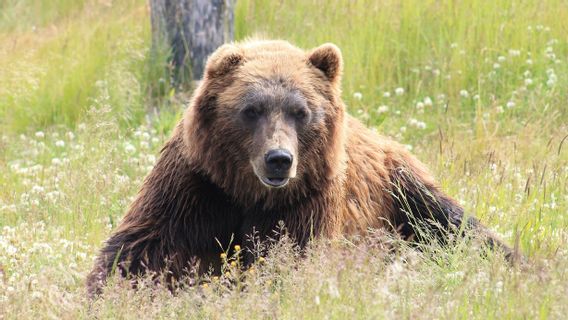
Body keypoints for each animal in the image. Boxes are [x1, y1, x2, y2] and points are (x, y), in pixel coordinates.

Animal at [86, 41, 516, 296]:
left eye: (301, 111)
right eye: (251, 109)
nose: (279, 158)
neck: (248, 193)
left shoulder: (306, 200)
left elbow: (289, 260)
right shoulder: (197, 186)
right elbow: (141, 249)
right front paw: (106, 292)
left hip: (401, 190)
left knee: (455, 226)